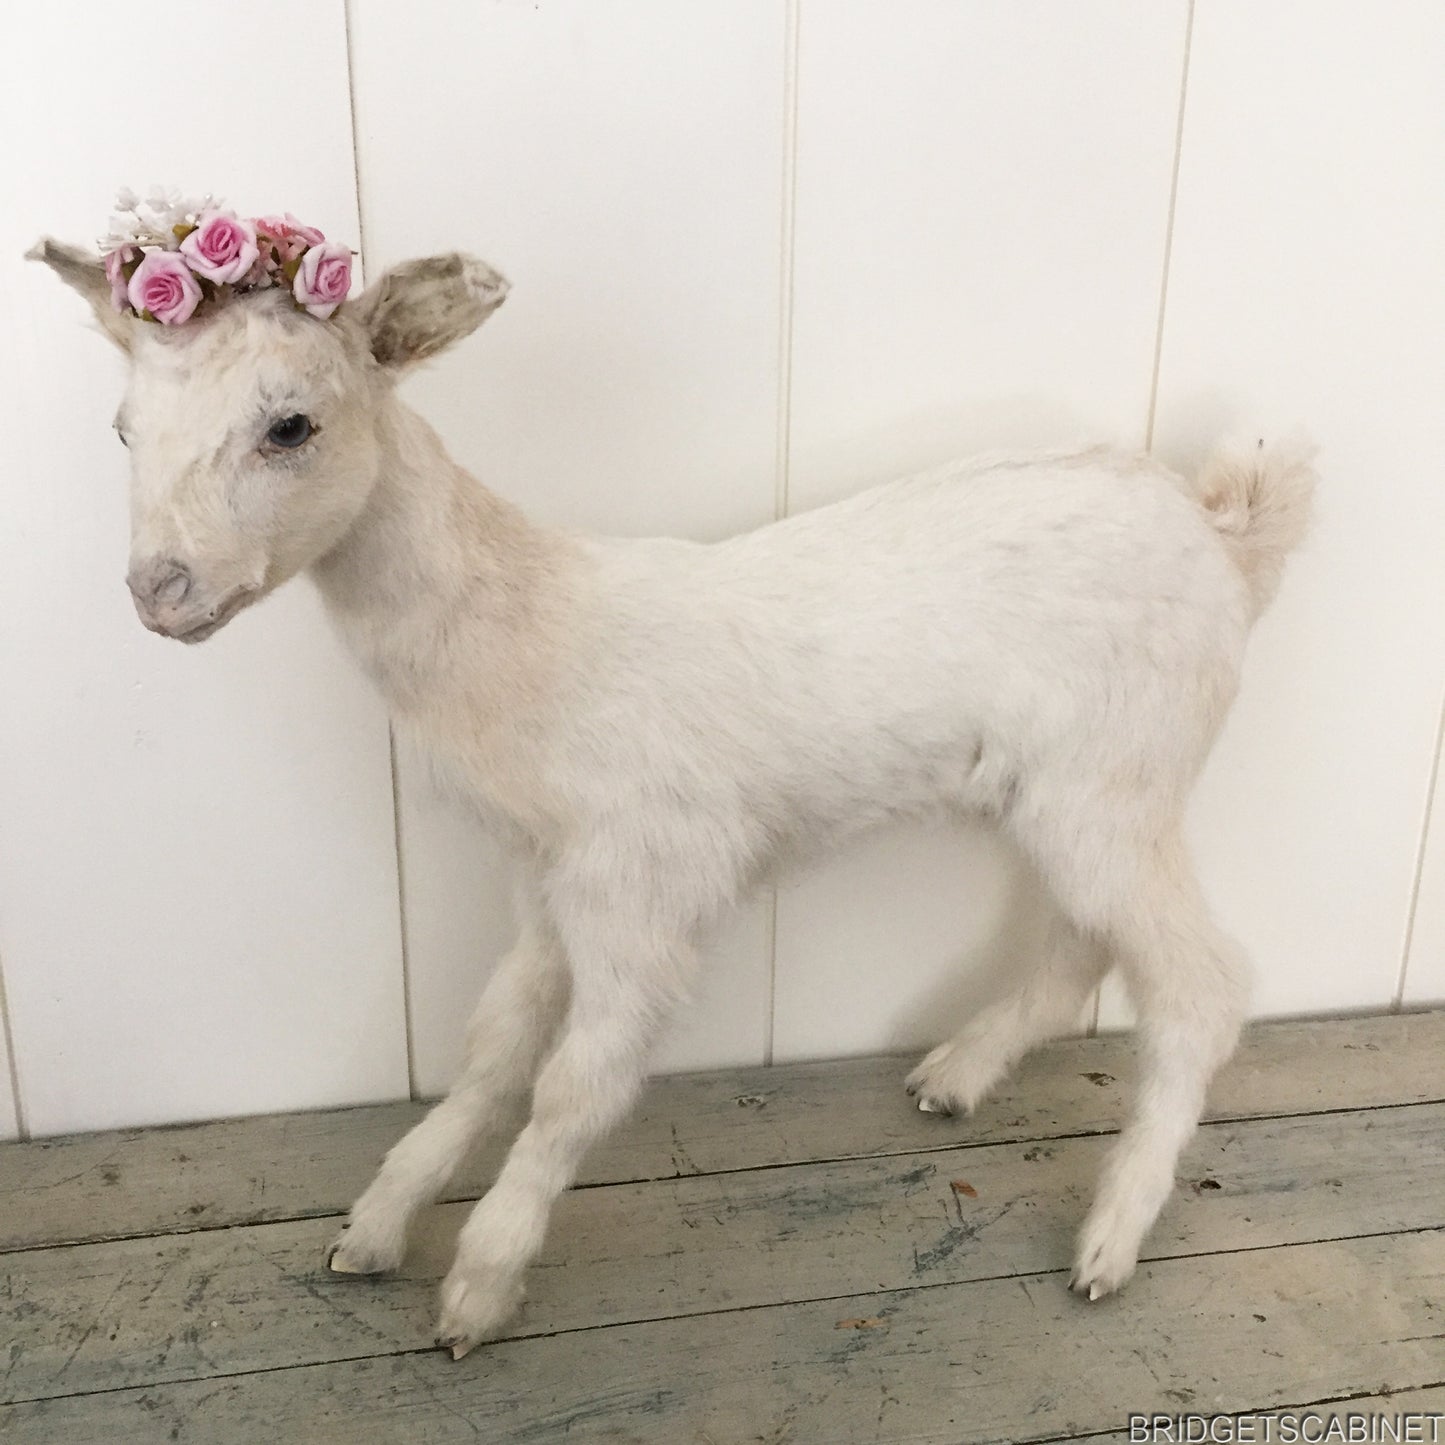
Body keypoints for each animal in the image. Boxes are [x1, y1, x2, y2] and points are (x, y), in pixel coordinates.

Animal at [31, 238, 1315, 1358]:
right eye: (124, 428)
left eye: (290, 423)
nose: (159, 591)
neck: (525, 634)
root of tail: (1228, 531)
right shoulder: (545, 875)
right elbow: (491, 1046)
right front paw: (376, 1224)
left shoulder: (644, 878)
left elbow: (572, 1084)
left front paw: (478, 1286)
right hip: (1073, 793)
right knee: (1081, 940)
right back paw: (952, 1076)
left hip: (1116, 772)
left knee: (1200, 983)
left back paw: (1105, 1244)